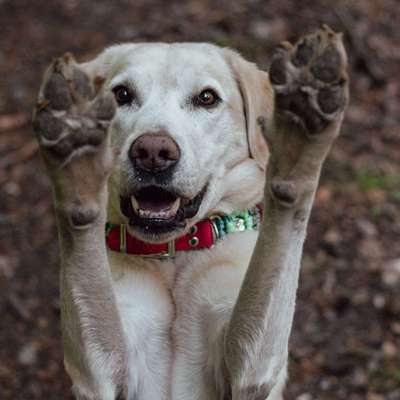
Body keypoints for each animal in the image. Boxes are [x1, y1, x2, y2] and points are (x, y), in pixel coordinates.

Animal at [32, 25, 348, 400]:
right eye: (121, 94)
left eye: (207, 98)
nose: (153, 152)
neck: (175, 255)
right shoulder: (100, 374)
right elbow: (83, 242)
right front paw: (75, 151)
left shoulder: (248, 372)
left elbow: (280, 227)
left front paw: (301, 127)